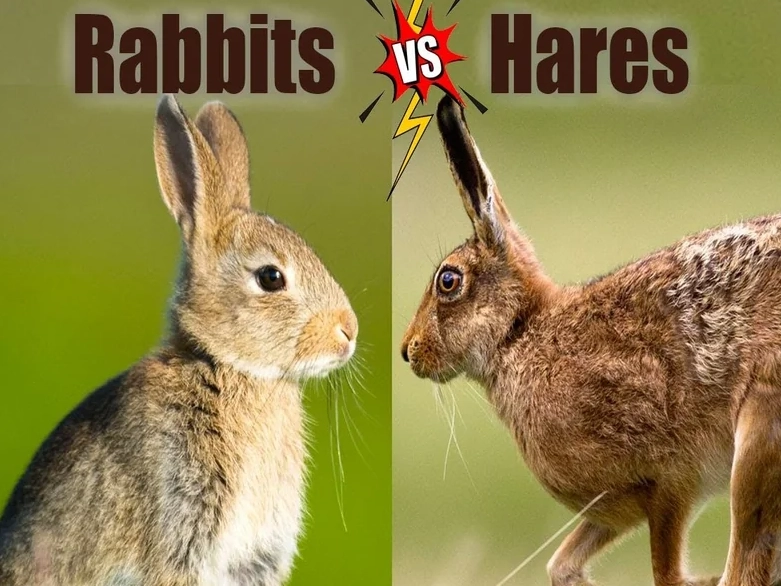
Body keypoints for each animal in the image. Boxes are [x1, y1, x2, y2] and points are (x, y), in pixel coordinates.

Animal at [401, 95, 781, 586]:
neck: (520, 333)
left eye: (448, 280)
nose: (407, 350)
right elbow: (561, 564)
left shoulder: (668, 480)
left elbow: (668, 574)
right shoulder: (612, 513)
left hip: (759, 436)